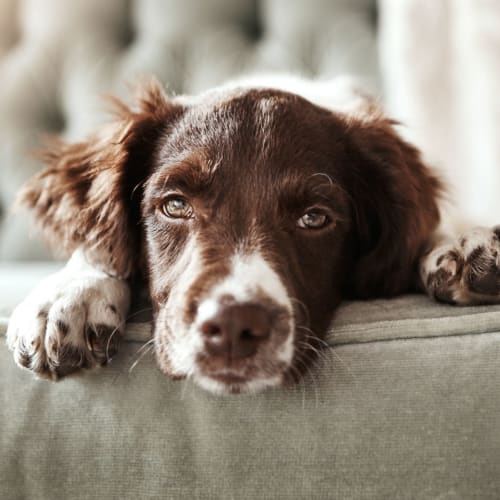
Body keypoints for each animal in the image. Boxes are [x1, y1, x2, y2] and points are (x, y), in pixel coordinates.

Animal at [4, 75, 500, 394]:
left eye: (315, 218)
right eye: (175, 205)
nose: (233, 325)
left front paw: (462, 244)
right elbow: (98, 247)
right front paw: (70, 295)